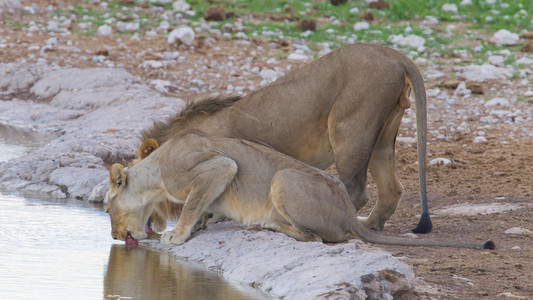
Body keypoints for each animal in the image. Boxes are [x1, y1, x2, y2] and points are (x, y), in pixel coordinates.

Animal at [105, 132, 494, 250]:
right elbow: (201, 206)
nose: (115, 237)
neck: (156, 172)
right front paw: (200, 223)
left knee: (315, 238)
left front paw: (177, 234)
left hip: (284, 179)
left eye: (107, 210)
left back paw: (266, 224)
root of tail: (350, 215)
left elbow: (191, 203)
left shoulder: (218, 166)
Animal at [139, 43, 430, 233]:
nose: (149, 224)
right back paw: (370, 225)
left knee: (357, 192)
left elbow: (202, 197)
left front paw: (203, 221)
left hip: (350, 131)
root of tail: (395, 55)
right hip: (382, 137)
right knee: (392, 188)